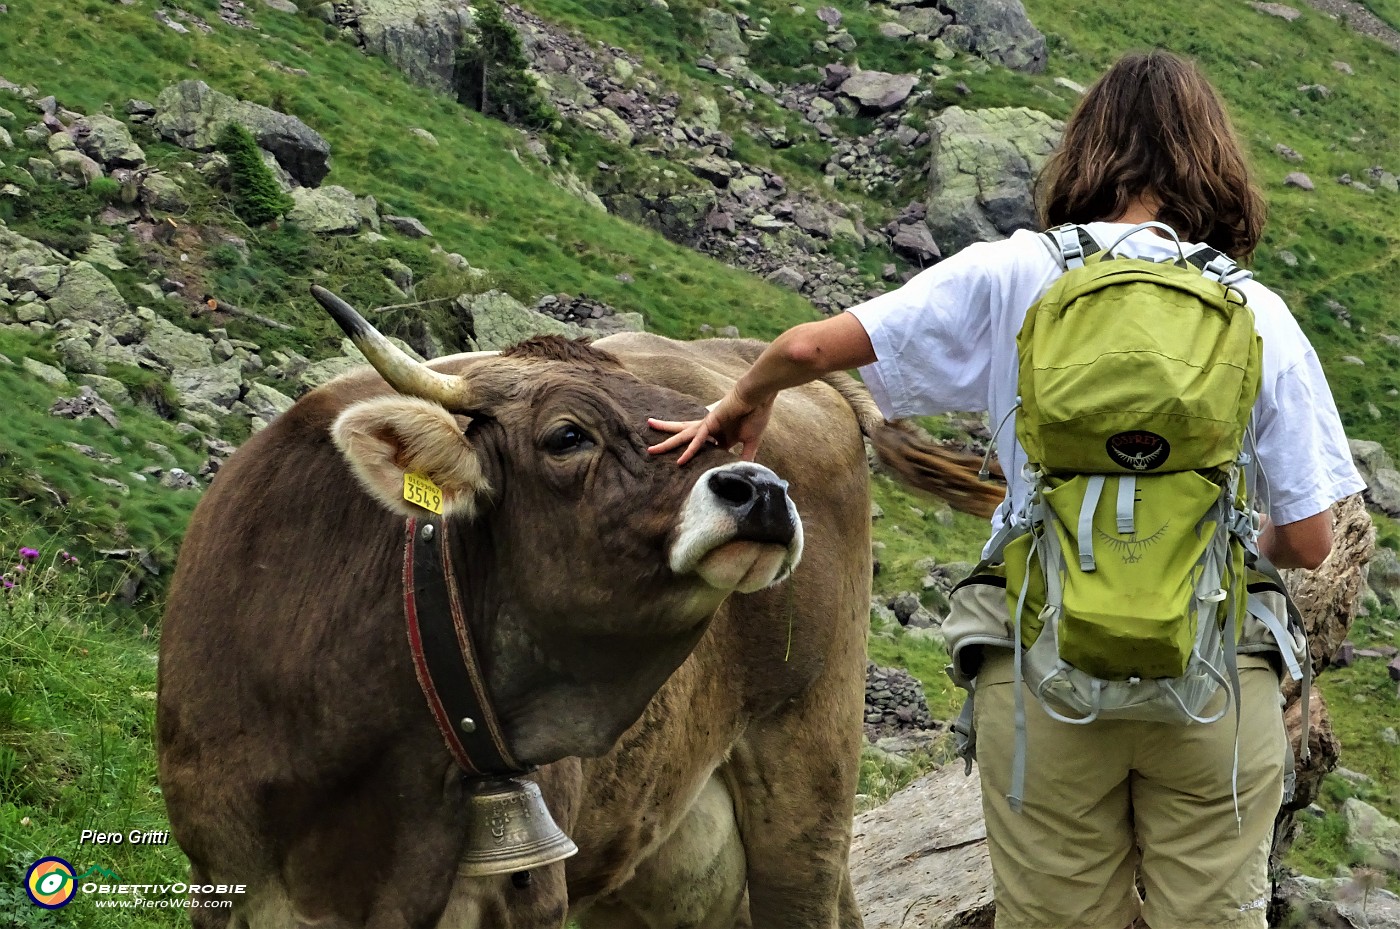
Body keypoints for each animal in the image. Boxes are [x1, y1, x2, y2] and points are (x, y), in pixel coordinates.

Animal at [158, 286, 1002, 923]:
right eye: (567, 435)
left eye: (717, 428)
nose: (761, 490)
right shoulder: (223, 879)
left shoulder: (519, 894)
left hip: (807, 772)